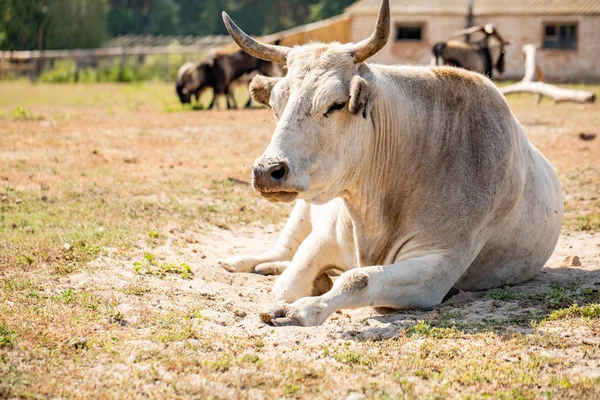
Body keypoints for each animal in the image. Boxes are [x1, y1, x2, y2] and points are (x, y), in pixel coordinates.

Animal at [219, 0, 564, 326]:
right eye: (275, 106)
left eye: (336, 104)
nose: (267, 171)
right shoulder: (322, 237)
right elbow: (290, 284)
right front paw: (310, 283)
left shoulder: (439, 265)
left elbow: (356, 278)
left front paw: (300, 309)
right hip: (303, 209)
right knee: (282, 249)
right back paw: (245, 262)